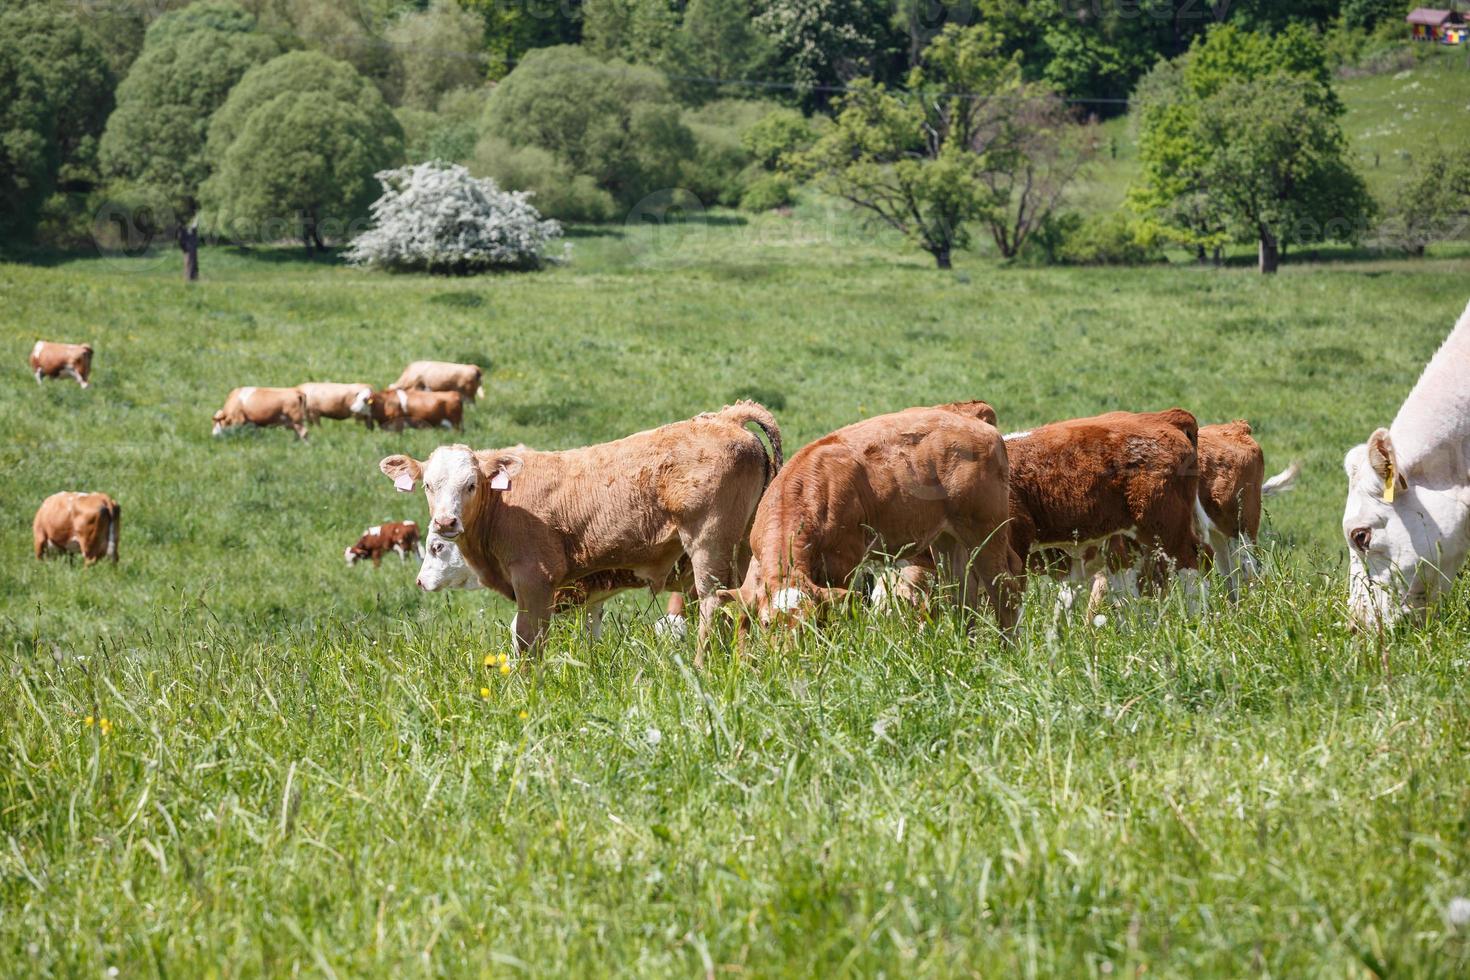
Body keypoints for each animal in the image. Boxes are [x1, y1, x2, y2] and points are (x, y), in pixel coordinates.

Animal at [379, 399, 782, 658]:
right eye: (428, 485)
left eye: (471, 484)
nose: (445, 521)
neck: (504, 502)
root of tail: (726, 418)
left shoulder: (535, 581)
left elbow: (527, 641)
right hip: (742, 550)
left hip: (709, 546)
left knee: (713, 604)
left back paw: (701, 666)